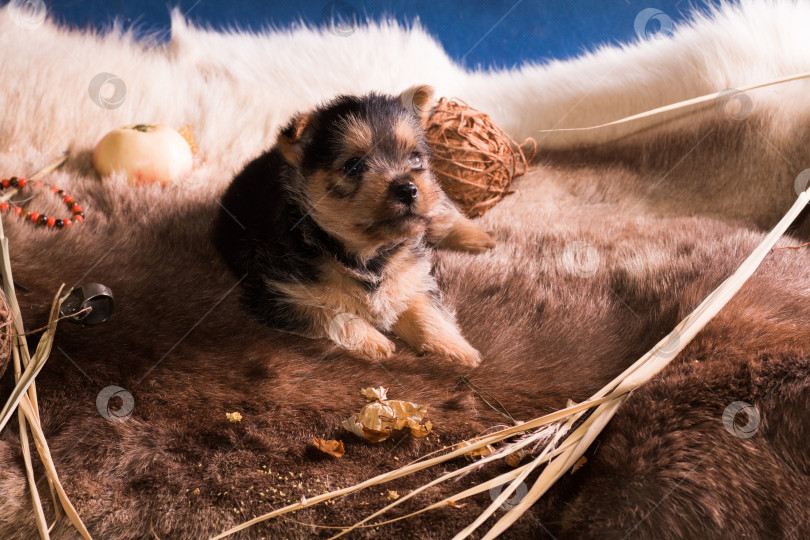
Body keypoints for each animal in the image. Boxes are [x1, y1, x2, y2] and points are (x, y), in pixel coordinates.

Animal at [213, 85, 492, 368]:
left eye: (416, 159)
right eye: (353, 166)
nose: (408, 189)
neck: (367, 255)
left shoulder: (412, 279)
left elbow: (425, 313)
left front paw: (456, 348)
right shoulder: (278, 296)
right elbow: (328, 313)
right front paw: (374, 341)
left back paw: (477, 238)